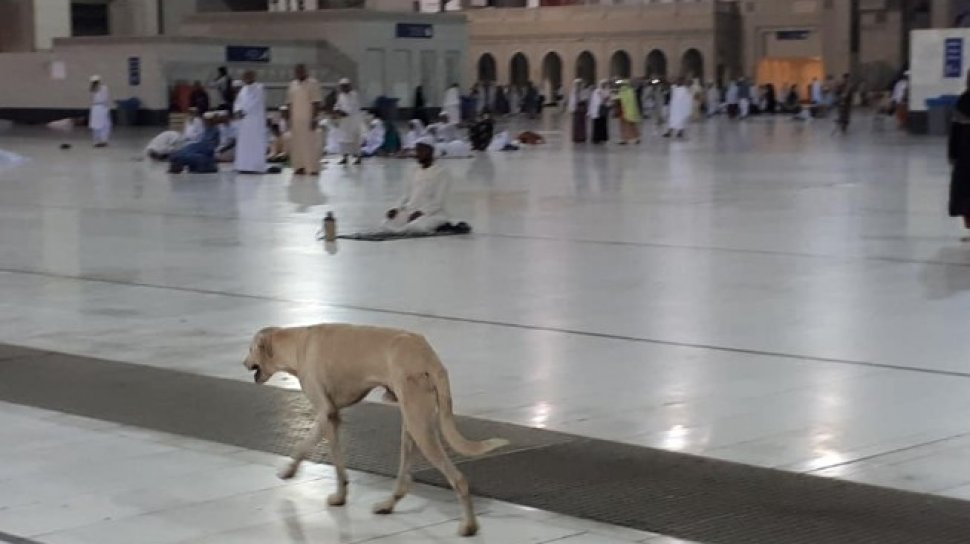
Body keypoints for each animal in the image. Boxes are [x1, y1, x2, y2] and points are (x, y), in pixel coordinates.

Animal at [244, 324, 506, 536]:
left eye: (250, 349)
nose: (243, 363)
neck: (297, 342)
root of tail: (428, 355)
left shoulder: (326, 413)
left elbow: (326, 458)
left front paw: (335, 495)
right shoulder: (330, 415)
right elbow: (313, 450)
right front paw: (294, 472)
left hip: (420, 426)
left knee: (459, 480)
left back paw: (469, 526)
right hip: (411, 424)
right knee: (404, 481)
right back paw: (387, 505)